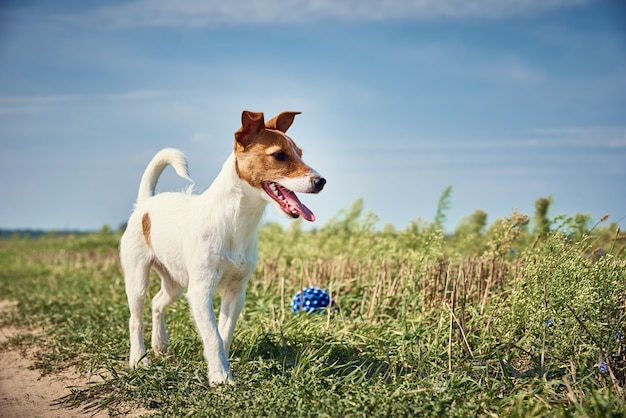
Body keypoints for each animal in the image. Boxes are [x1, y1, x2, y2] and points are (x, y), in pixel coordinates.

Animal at [121, 109, 326, 384]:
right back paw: (138, 359)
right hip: (137, 279)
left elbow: (224, 333)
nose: (321, 181)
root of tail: (145, 203)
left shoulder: (236, 292)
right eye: (279, 155)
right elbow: (213, 336)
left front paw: (222, 366)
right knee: (135, 319)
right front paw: (220, 377)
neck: (236, 222)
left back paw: (160, 344)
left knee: (157, 302)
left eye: (301, 153)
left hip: (174, 282)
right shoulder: (200, 292)